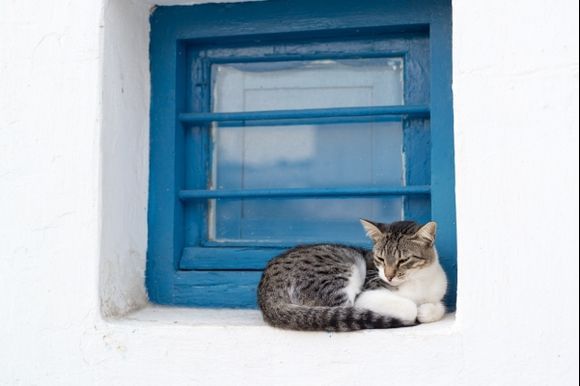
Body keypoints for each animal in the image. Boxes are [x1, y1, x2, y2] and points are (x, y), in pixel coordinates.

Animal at [256, 219, 446, 330]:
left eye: (403, 260)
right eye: (380, 258)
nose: (388, 276)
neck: (418, 280)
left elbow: (440, 307)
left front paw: (427, 310)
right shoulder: (366, 295)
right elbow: (409, 306)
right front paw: (417, 311)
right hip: (342, 273)